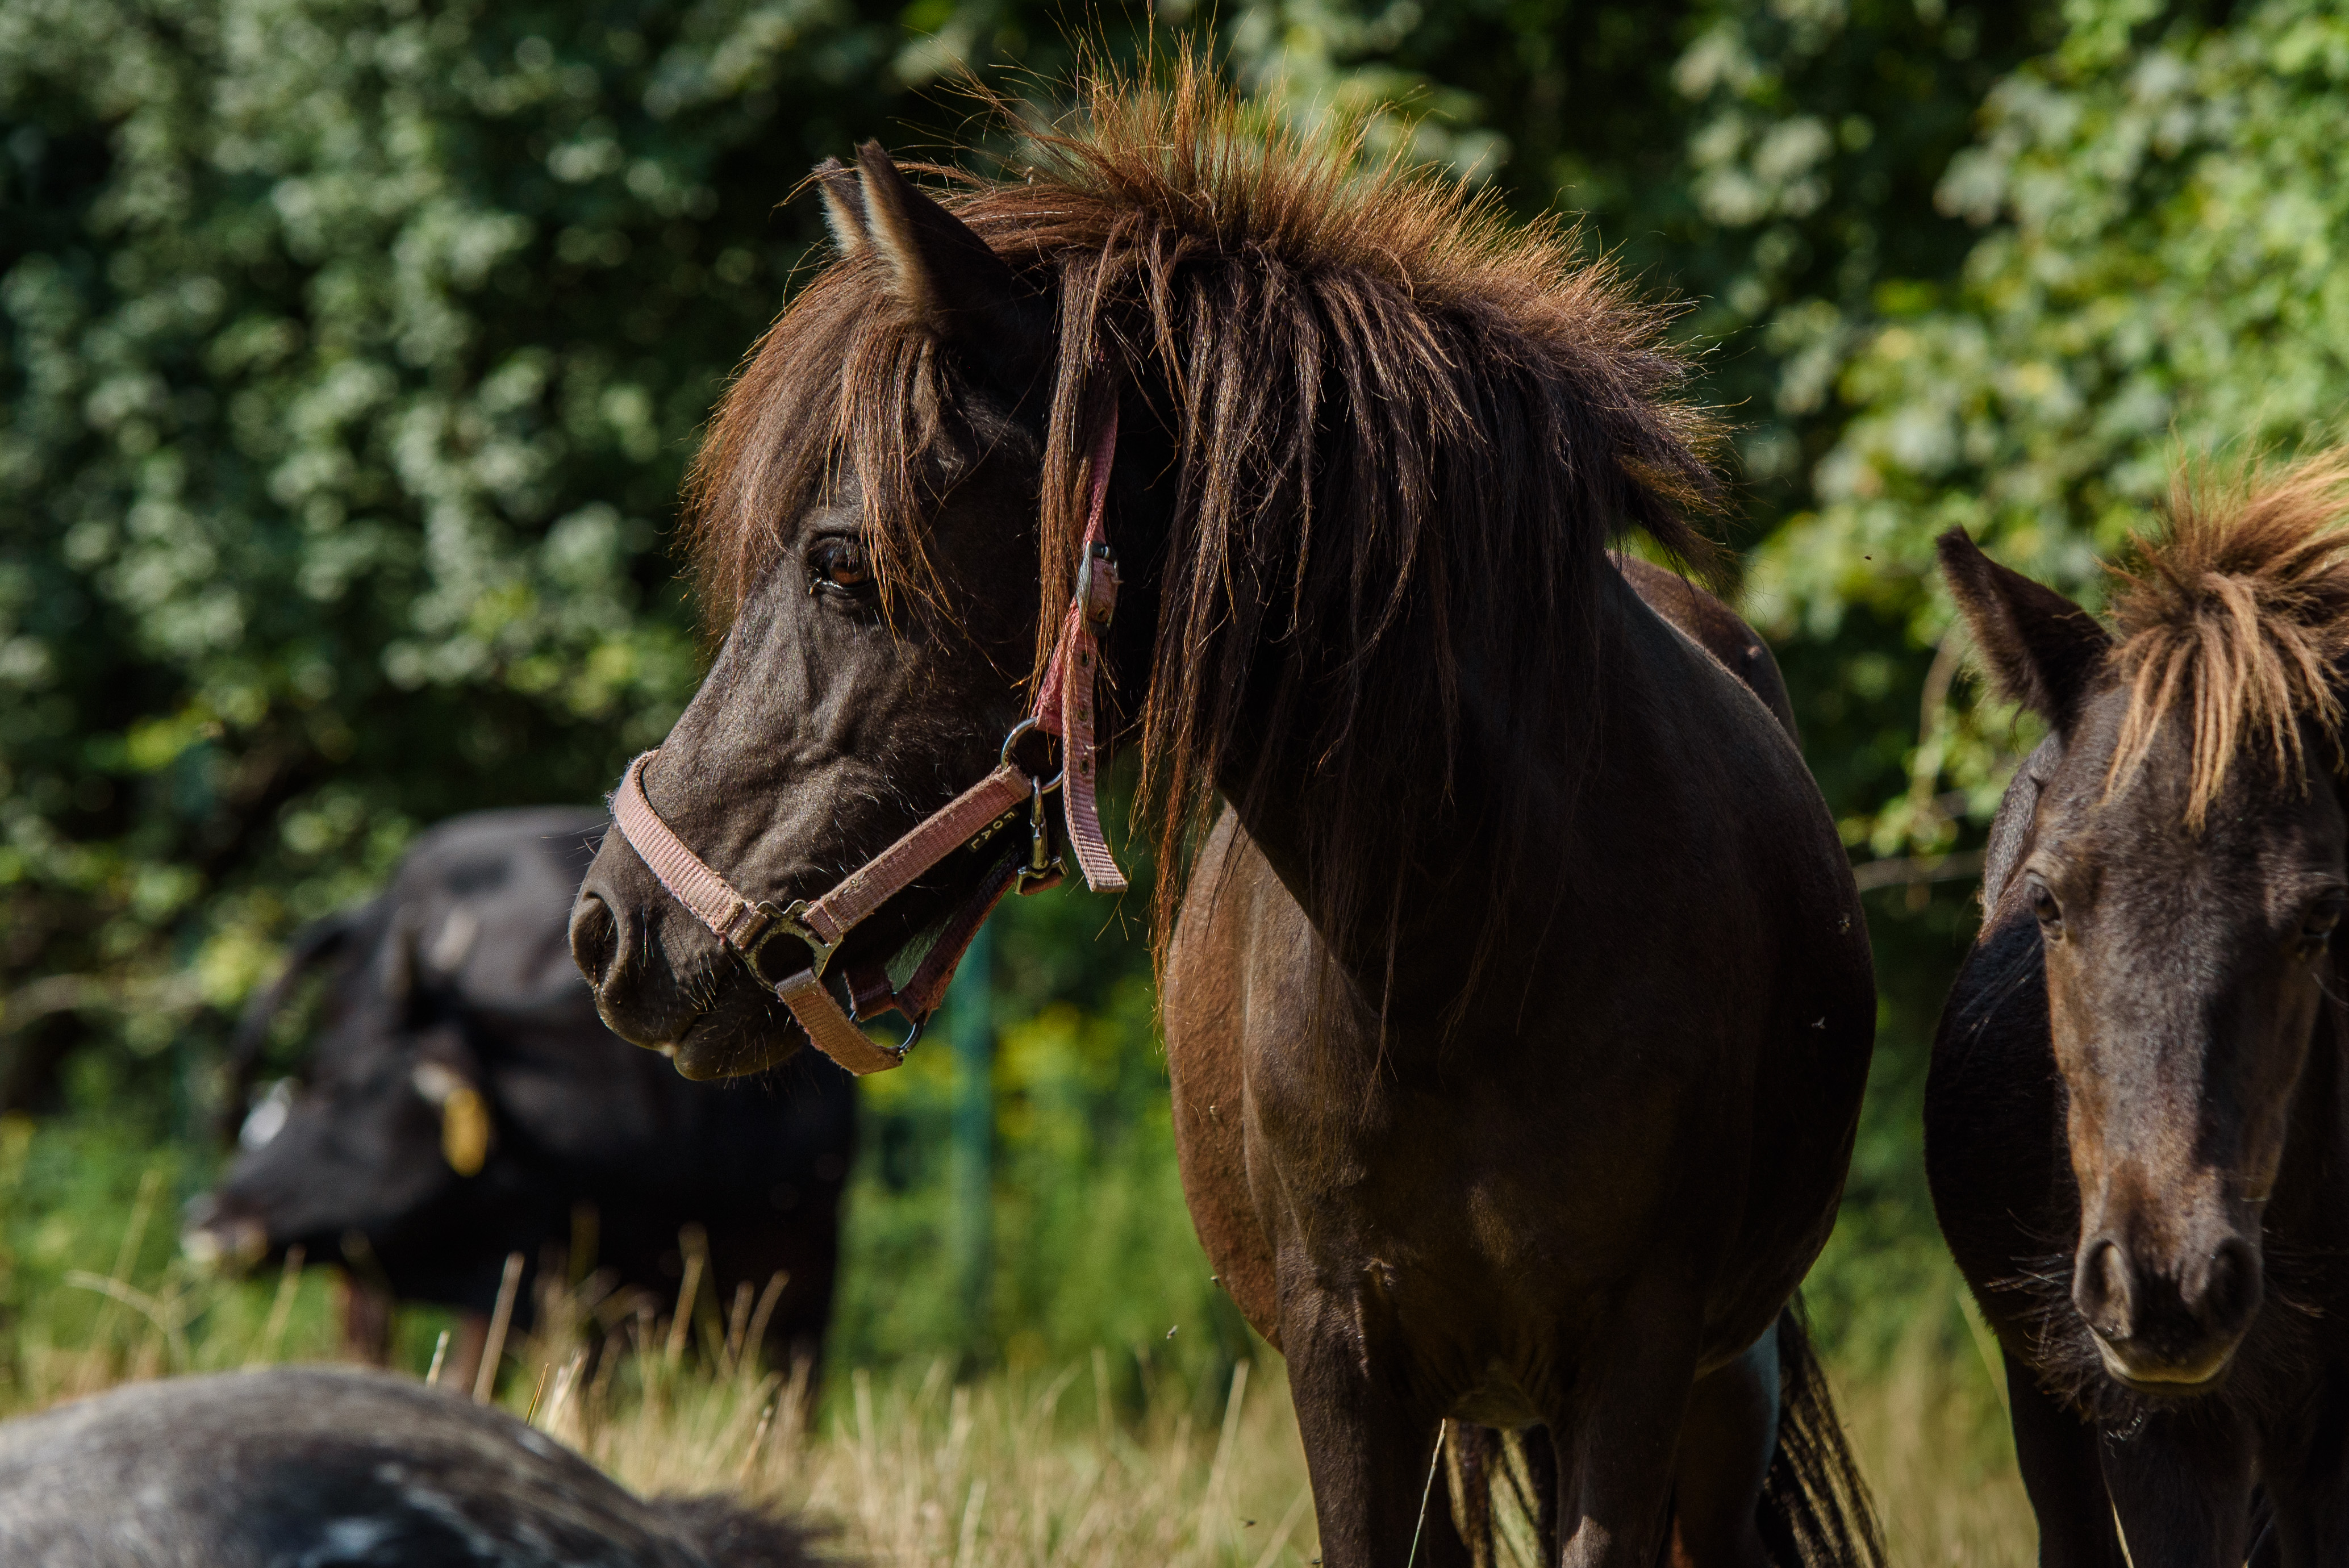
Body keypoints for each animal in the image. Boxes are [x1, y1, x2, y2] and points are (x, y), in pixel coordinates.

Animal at [564, 70, 1870, 1568]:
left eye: (841, 563)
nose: (611, 929)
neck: (1476, 933)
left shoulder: (1636, 1359)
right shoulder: (1347, 1359)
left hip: (1719, 1389)